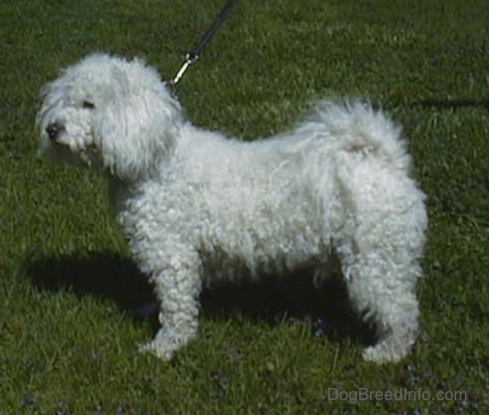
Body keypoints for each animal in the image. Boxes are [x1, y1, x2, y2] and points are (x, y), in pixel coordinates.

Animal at [37, 52, 428, 364]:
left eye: (89, 104)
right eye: (64, 100)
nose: (52, 129)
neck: (157, 159)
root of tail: (385, 159)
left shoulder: (173, 254)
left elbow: (176, 306)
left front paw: (165, 347)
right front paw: (150, 311)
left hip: (375, 259)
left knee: (402, 312)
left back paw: (386, 354)